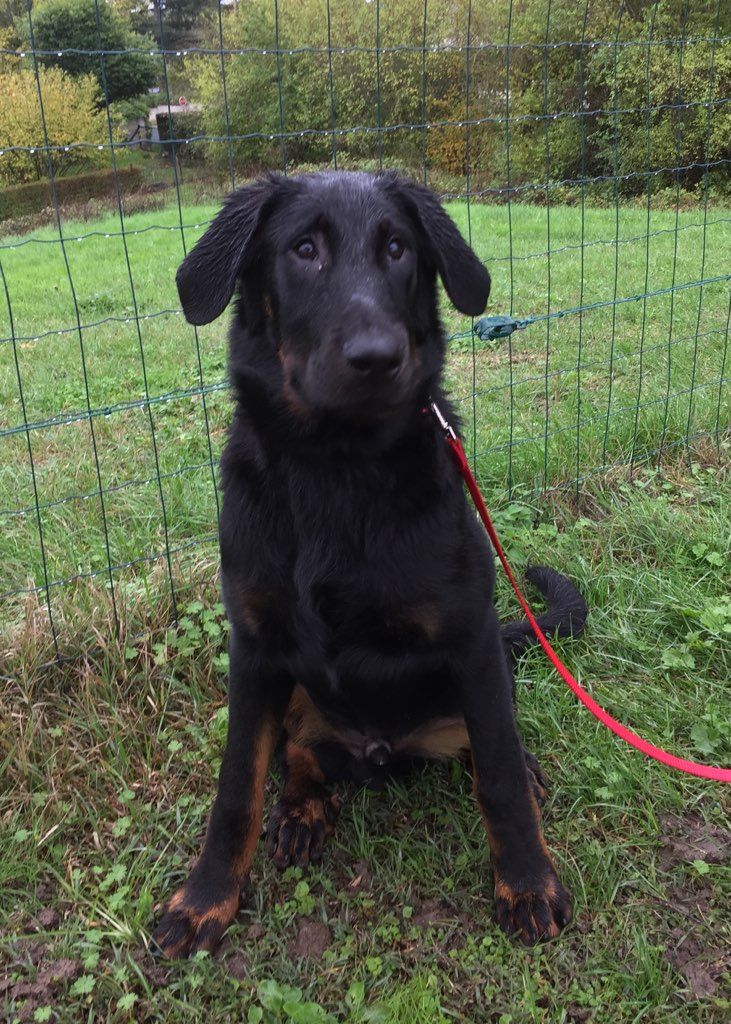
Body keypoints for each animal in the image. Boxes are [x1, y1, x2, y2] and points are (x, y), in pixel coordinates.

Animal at [151, 171, 587, 958]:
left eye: (397, 249)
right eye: (303, 249)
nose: (378, 357)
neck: (336, 468)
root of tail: (379, 750)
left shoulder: (470, 639)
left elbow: (499, 776)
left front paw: (527, 883)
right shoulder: (255, 648)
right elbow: (236, 787)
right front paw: (204, 900)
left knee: (490, 744)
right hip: (297, 695)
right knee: (298, 755)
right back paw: (301, 809)